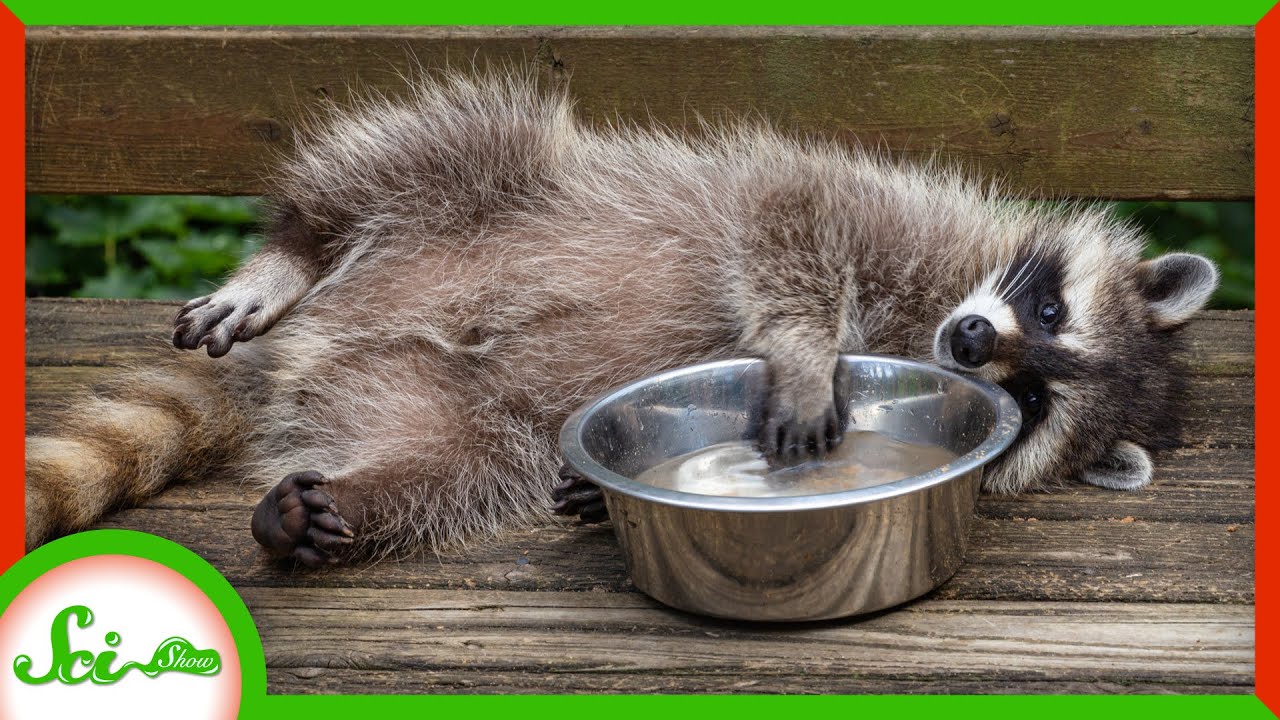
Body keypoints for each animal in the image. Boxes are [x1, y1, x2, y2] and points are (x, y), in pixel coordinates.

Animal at [24, 71, 1218, 567]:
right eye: (1046, 304)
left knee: (447, 466)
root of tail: (303, 352)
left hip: (447, 409)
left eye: (1034, 397)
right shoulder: (885, 212)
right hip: (490, 190)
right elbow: (788, 215)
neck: (918, 315)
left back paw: (339, 507)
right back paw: (292, 251)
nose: (968, 343)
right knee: (432, 142)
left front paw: (594, 501)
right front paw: (803, 353)